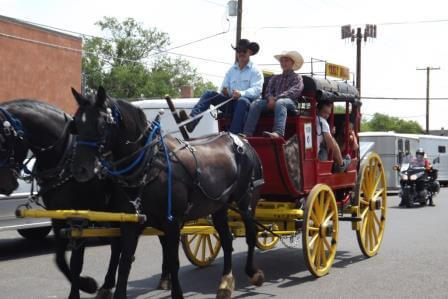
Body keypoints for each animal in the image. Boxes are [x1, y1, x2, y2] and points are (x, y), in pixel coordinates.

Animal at [0, 101, 119, 299]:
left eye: (2, 143)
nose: (5, 184)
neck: (64, 158)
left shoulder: (80, 218)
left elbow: (76, 261)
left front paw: (80, 289)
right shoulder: (57, 216)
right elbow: (60, 260)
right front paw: (87, 284)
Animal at [70, 87, 266, 299]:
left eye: (100, 125)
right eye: (75, 125)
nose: (80, 170)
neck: (150, 164)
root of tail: (242, 140)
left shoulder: (172, 222)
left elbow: (173, 261)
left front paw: (176, 293)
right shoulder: (131, 222)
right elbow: (125, 260)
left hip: (245, 200)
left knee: (251, 233)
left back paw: (253, 272)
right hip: (219, 206)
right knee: (227, 239)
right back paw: (225, 281)